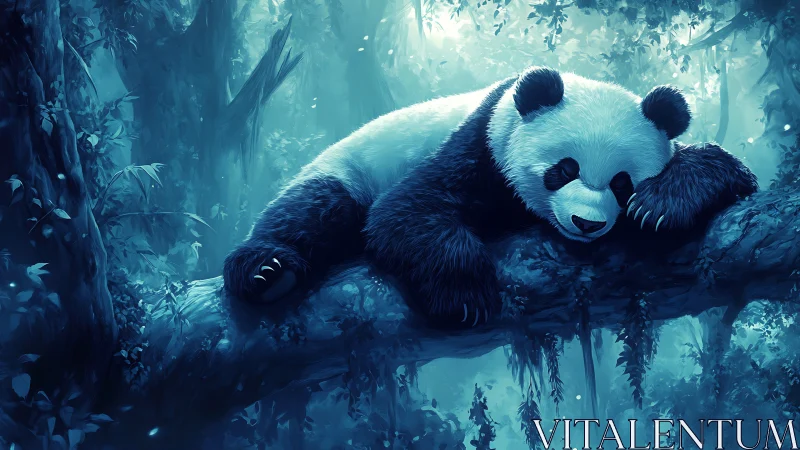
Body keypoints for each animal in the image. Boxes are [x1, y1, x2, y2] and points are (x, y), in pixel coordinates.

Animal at [223, 66, 758, 328]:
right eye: (564, 169)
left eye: (622, 182)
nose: (587, 225)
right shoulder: (478, 148)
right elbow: (405, 211)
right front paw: (464, 297)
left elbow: (721, 171)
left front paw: (665, 202)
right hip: (348, 167)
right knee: (312, 210)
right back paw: (267, 272)